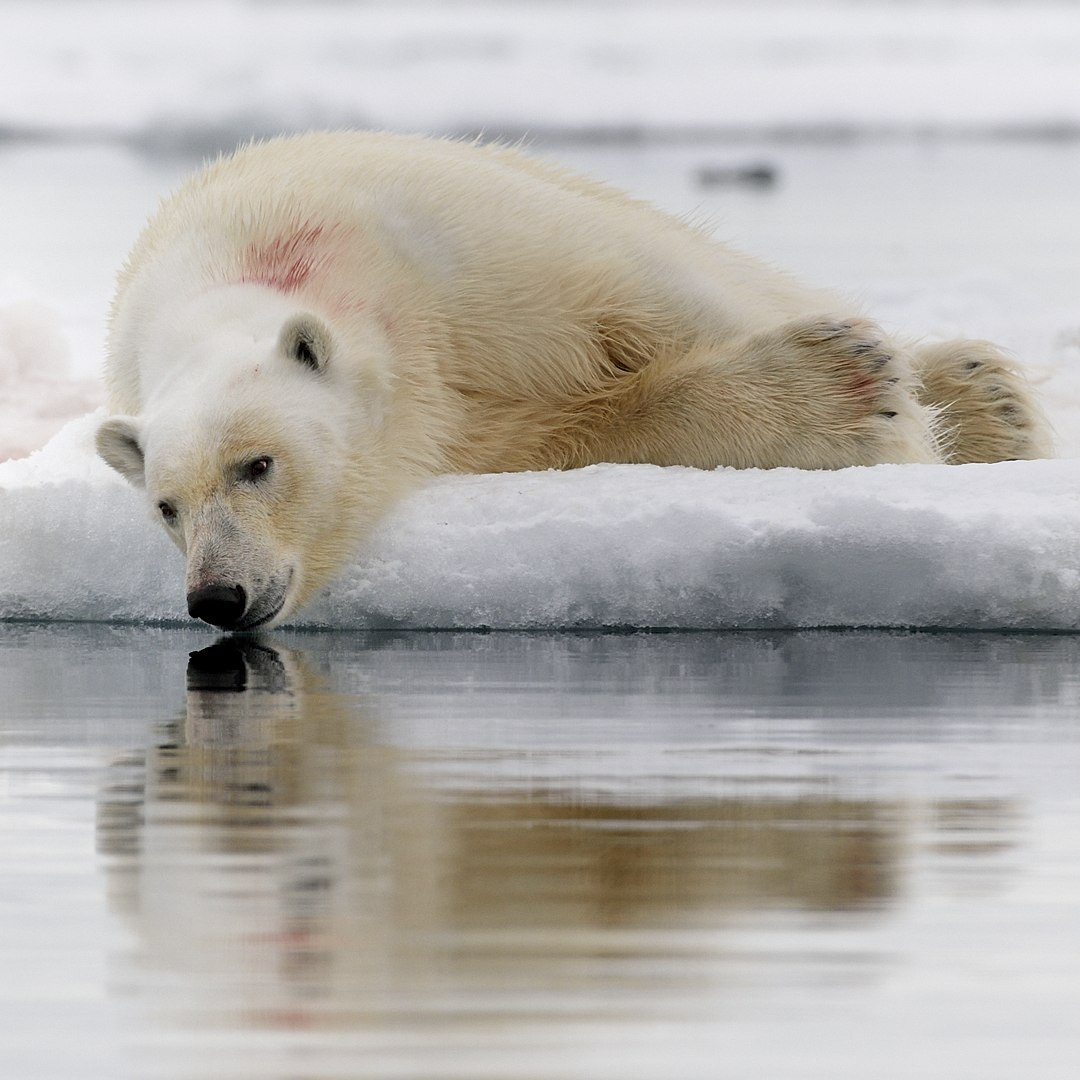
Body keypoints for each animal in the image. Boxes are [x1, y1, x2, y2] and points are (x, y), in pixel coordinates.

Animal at [95, 130, 1053, 631]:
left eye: (258, 465)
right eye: (165, 506)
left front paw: (879, 399)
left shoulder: (467, 256)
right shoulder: (450, 423)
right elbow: (568, 433)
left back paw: (985, 396)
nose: (217, 596)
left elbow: (654, 303)